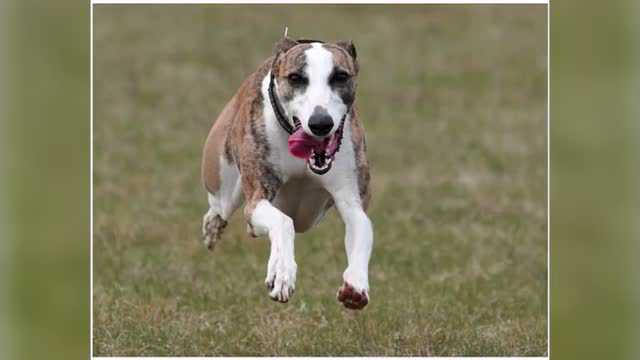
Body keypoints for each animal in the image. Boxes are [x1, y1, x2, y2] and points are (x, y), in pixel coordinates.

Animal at [200, 35, 370, 310]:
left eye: (340, 76)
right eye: (296, 78)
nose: (320, 123)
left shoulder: (352, 199)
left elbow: (361, 227)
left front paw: (355, 285)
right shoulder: (257, 198)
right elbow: (282, 222)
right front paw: (282, 273)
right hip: (222, 179)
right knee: (220, 208)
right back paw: (212, 228)